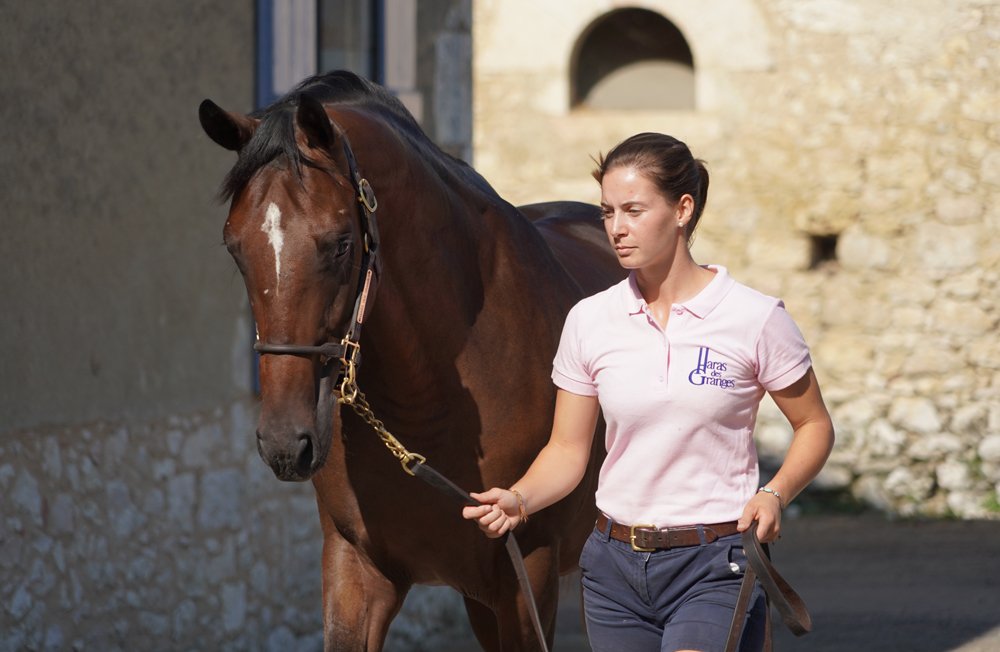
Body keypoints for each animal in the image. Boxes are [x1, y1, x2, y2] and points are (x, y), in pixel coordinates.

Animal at [199, 70, 624, 651]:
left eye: (341, 244)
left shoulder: (528, 574)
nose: (286, 444)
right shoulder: (356, 569)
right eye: (234, 247)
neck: (430, 398)